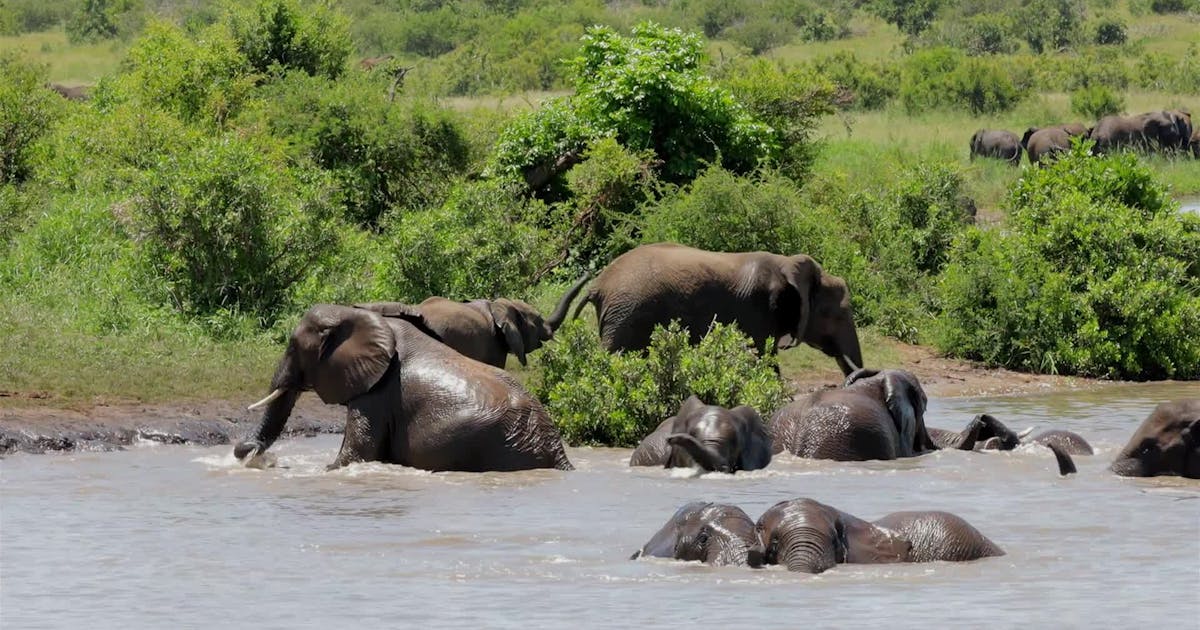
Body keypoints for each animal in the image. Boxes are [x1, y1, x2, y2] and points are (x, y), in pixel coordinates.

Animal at [233, 304, 573, 472]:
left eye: (293, 347)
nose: (243, 450)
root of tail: (557, 453)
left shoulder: (378, 394)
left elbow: (356, 455)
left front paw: (329, 470)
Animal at [564, 242, 864, 376]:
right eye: (835, 315)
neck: (787, 264)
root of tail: (598, 285)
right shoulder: (756, 312)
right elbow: (764, 362)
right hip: (626, 314)